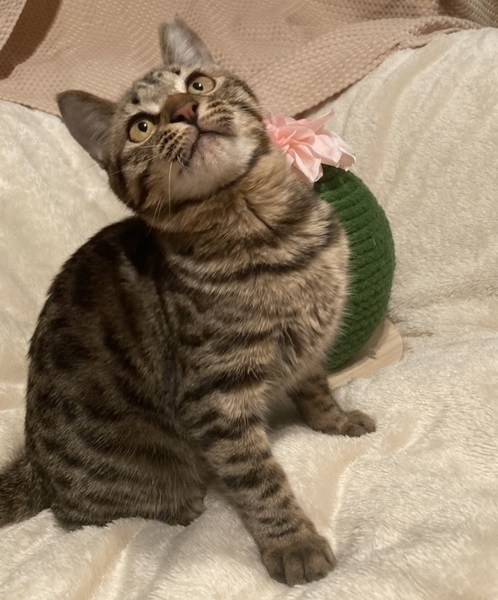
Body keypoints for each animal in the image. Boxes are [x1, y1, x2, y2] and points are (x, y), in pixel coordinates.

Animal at [0, 19, 375, 586]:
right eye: (140, 127)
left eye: (198, 83)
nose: (183, 109)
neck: (269, 234)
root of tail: (37, 472)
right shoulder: (215, 400)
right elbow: (259, 480)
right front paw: (293, 543)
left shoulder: (309, 348)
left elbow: (315, 387)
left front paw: (336, 421)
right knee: (89, 514)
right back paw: (181, 507)